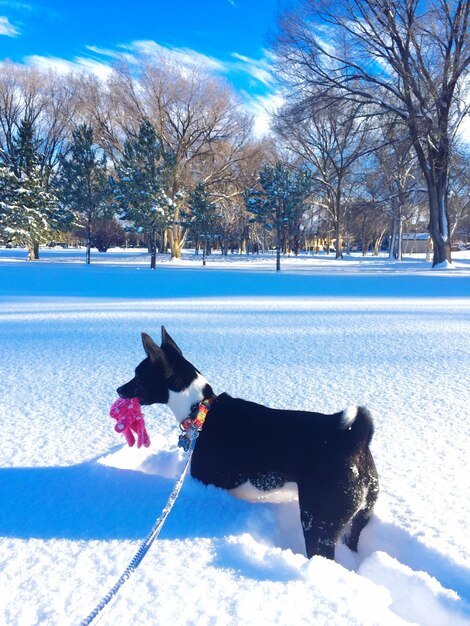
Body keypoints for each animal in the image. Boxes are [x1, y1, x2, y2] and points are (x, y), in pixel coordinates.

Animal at [116, 326, 378, 556]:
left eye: (139, 375)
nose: (119, 389)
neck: (201, 408)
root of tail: (355, 438)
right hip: (360, 516)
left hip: (318, 522)